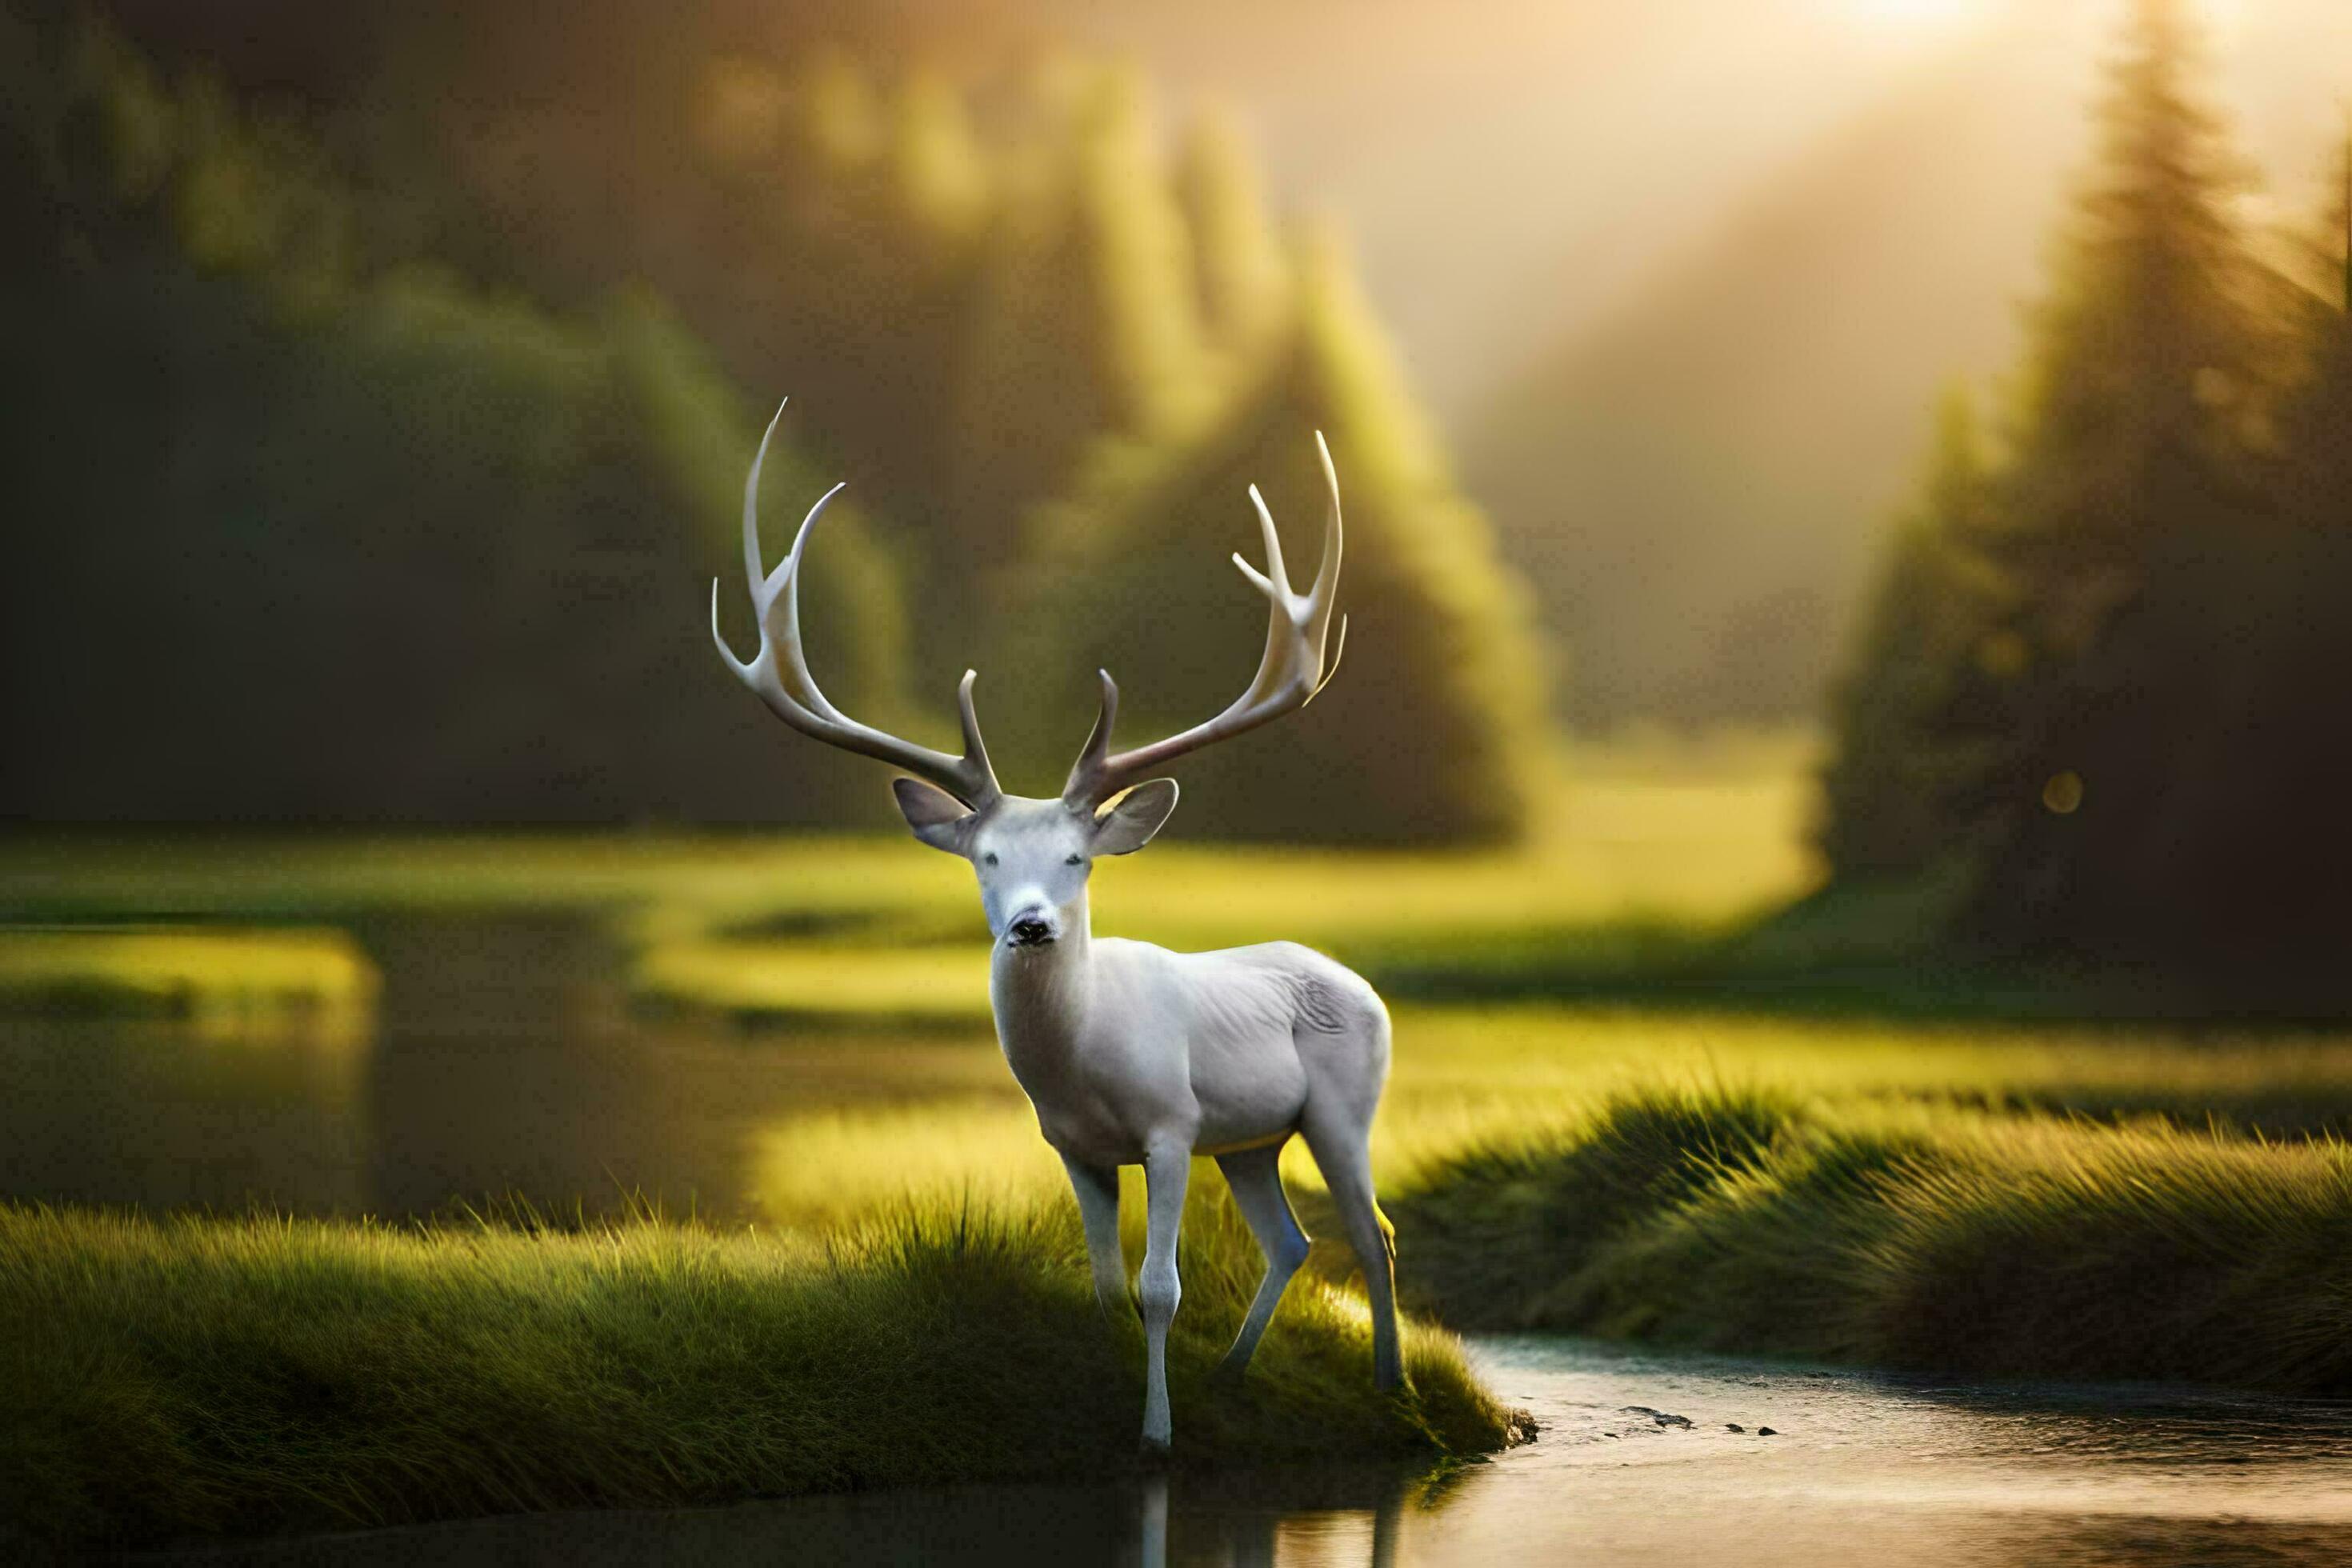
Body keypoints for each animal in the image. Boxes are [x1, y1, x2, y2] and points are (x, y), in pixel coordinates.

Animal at [709, 403, 1395, 1456]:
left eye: (1078, 857)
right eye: (985, 856)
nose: (1032, 925)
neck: (1084, 1066)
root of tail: (1362, 983)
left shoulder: (1171, 1123)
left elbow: (1162, 1286)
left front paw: (1156, 1436)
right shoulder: (1073, 1146)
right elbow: (1107, 1286)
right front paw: (1115, 1408)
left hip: (1341, 1107)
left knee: (1373, 1233)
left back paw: (1394, 1387)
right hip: (1248, 1139)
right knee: (1292, 1240)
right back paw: (1236, 1372)